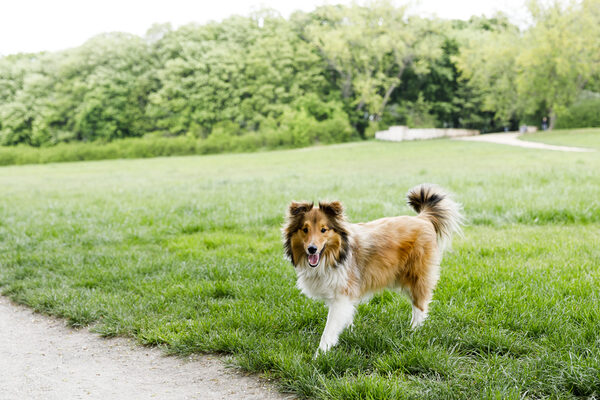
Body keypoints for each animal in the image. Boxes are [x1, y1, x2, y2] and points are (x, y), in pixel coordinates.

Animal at [284, 184, 462, 354]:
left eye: (323, 229)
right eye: (305, 229)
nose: (312, 249)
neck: (334, 255)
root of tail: (423, 218)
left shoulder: (341, 296)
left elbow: (329, 330)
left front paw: (320, 354)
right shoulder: (344, 296)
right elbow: (346, 318)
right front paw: (348, 334)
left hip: (417, 276)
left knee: (420, 305)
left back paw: (414, 331)